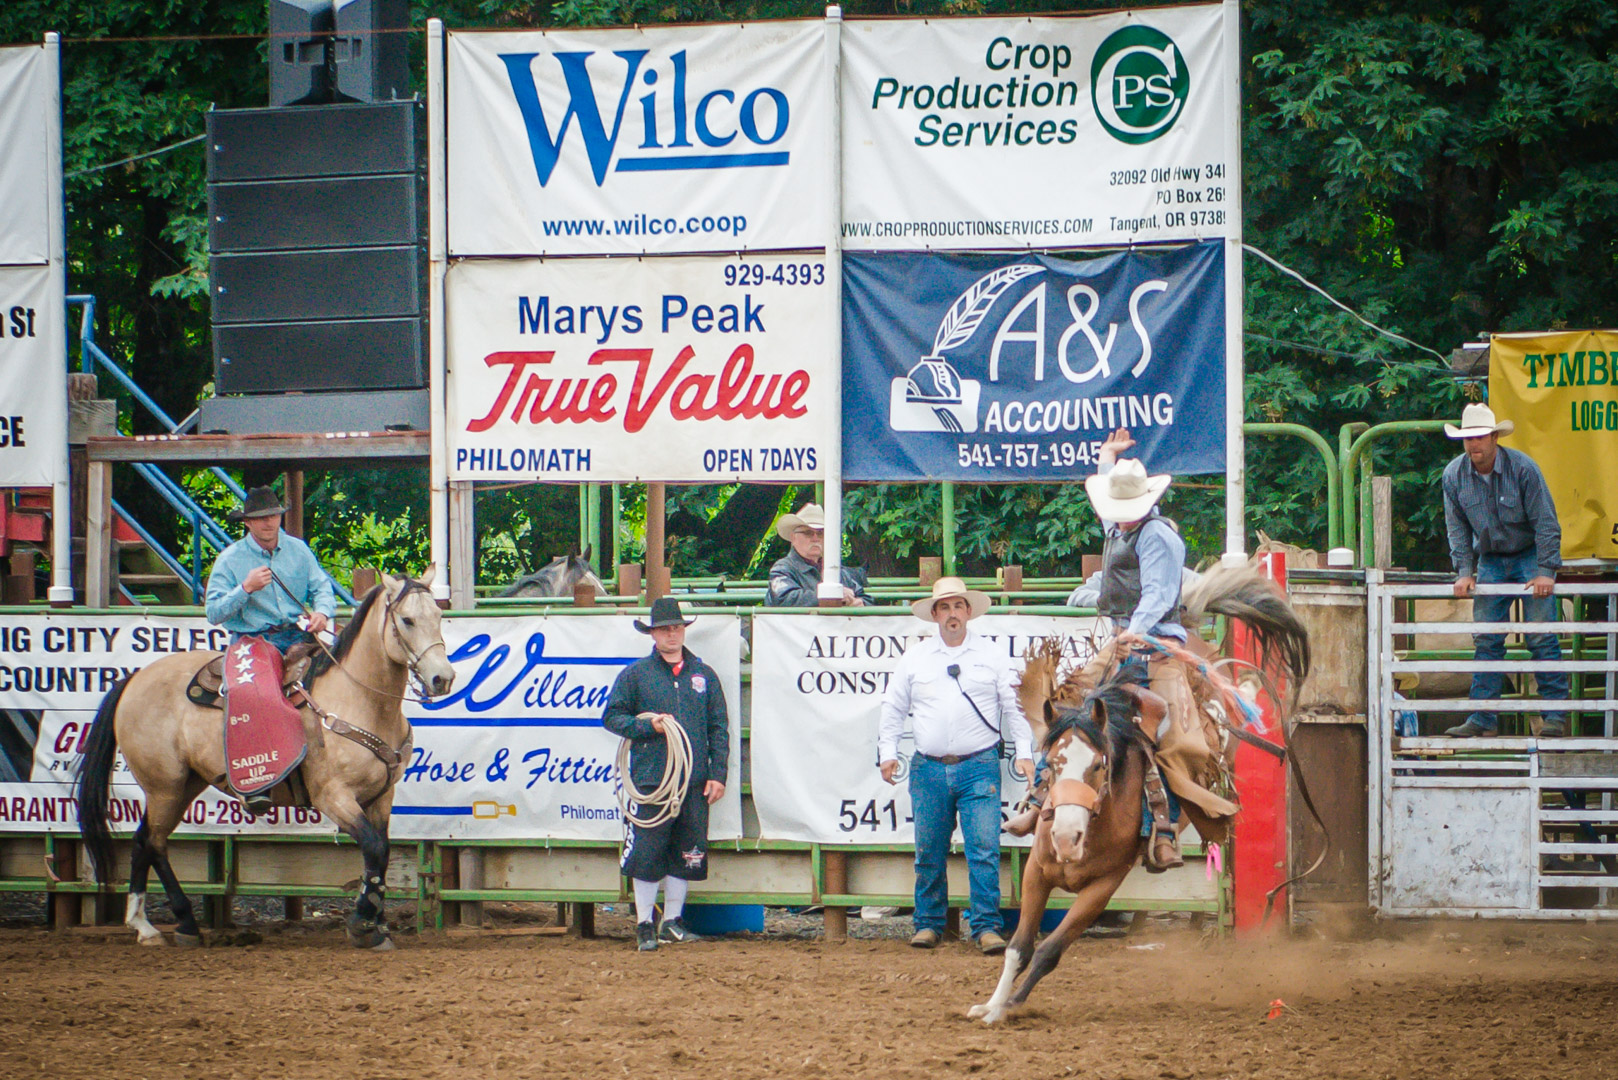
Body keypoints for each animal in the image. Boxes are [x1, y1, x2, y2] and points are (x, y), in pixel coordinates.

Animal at [74, 571, 456, 949]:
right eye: (407, 620)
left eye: (438, 616)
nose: (443, 678)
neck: (359, 700)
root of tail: (134, 679)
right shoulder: (333, 795)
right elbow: (374, 849)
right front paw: (362, 924)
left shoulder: (381, 796)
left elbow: (382, 853)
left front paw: (377, 927)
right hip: (163, 786)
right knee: (154, 843)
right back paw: (184, 923)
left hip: (183, 785)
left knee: (143, 841)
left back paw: (145, 925)